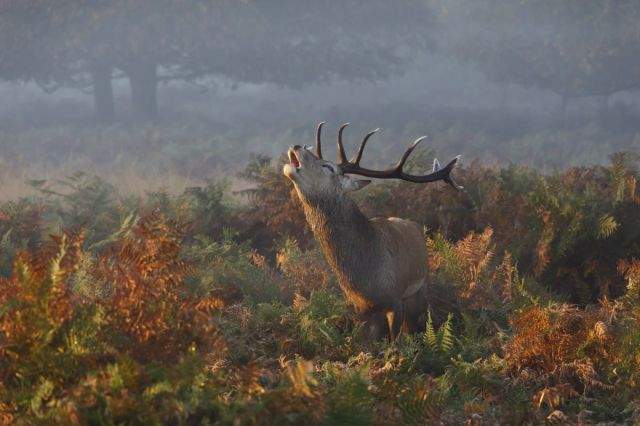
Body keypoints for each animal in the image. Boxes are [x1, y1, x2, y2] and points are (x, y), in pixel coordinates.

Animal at [283, 122, 462, 340]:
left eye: (328, 167)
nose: (297, 146)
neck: (366, 277)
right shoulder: (358, 308)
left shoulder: (396, 299)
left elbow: (395, 342)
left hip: (419, 290)